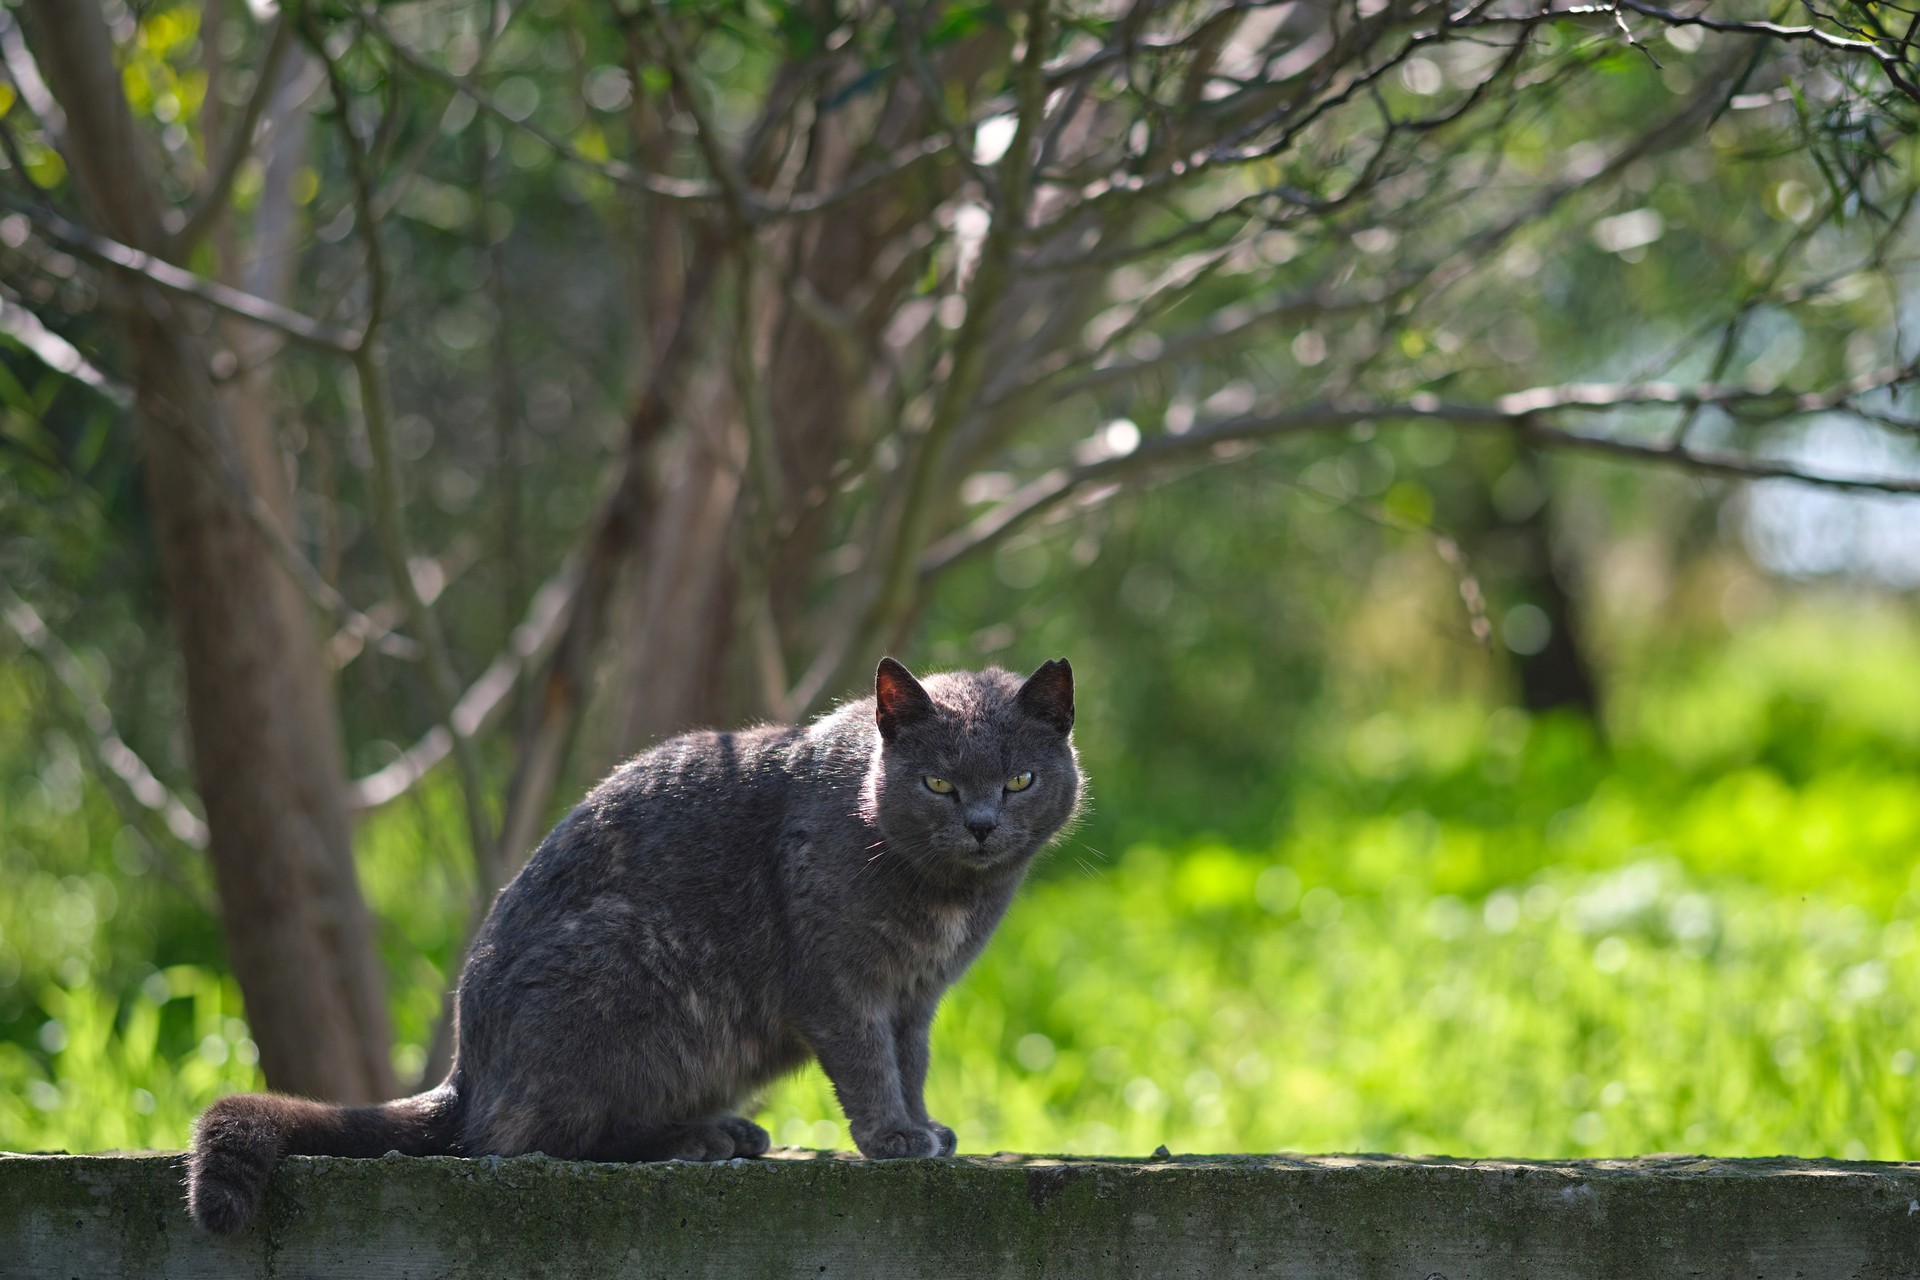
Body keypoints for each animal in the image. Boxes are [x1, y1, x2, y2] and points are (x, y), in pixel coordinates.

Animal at [191, 656, 1082, 1235]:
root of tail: (466, 1071)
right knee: (533, 1141)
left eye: (1020, 781)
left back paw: (726, 1133)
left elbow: (911, 1062)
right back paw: (698, 1141)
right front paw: (893, 1138)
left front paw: (924, 1127)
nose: (982, 824)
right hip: (626, 964)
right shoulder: (837, 982)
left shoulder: (916, 996)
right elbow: (867, 1064)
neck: (947, 894)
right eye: (937, 782)